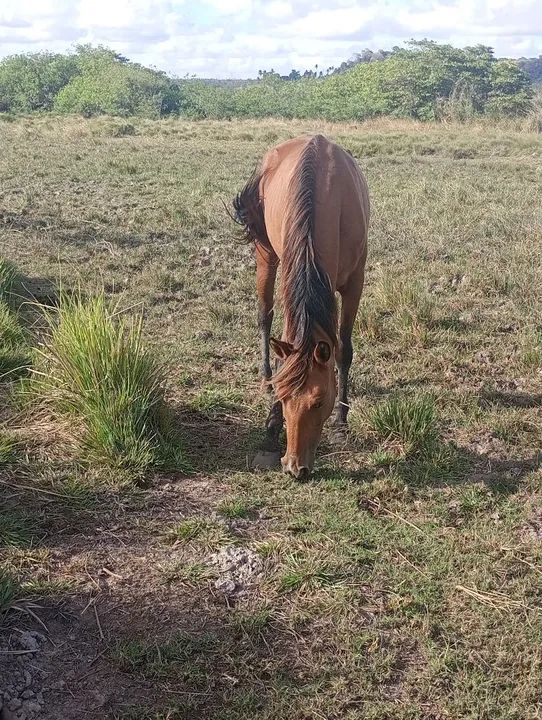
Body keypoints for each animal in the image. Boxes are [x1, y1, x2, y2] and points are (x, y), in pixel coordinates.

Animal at [233, 134, 369, 480]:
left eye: (319, 402)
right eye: (284, 398)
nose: (295, 466)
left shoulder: (354, 283)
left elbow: (344, 350)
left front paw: (341, 424)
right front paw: (270, 431)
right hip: (267, 254)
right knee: (264, 316)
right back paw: (264, 375)